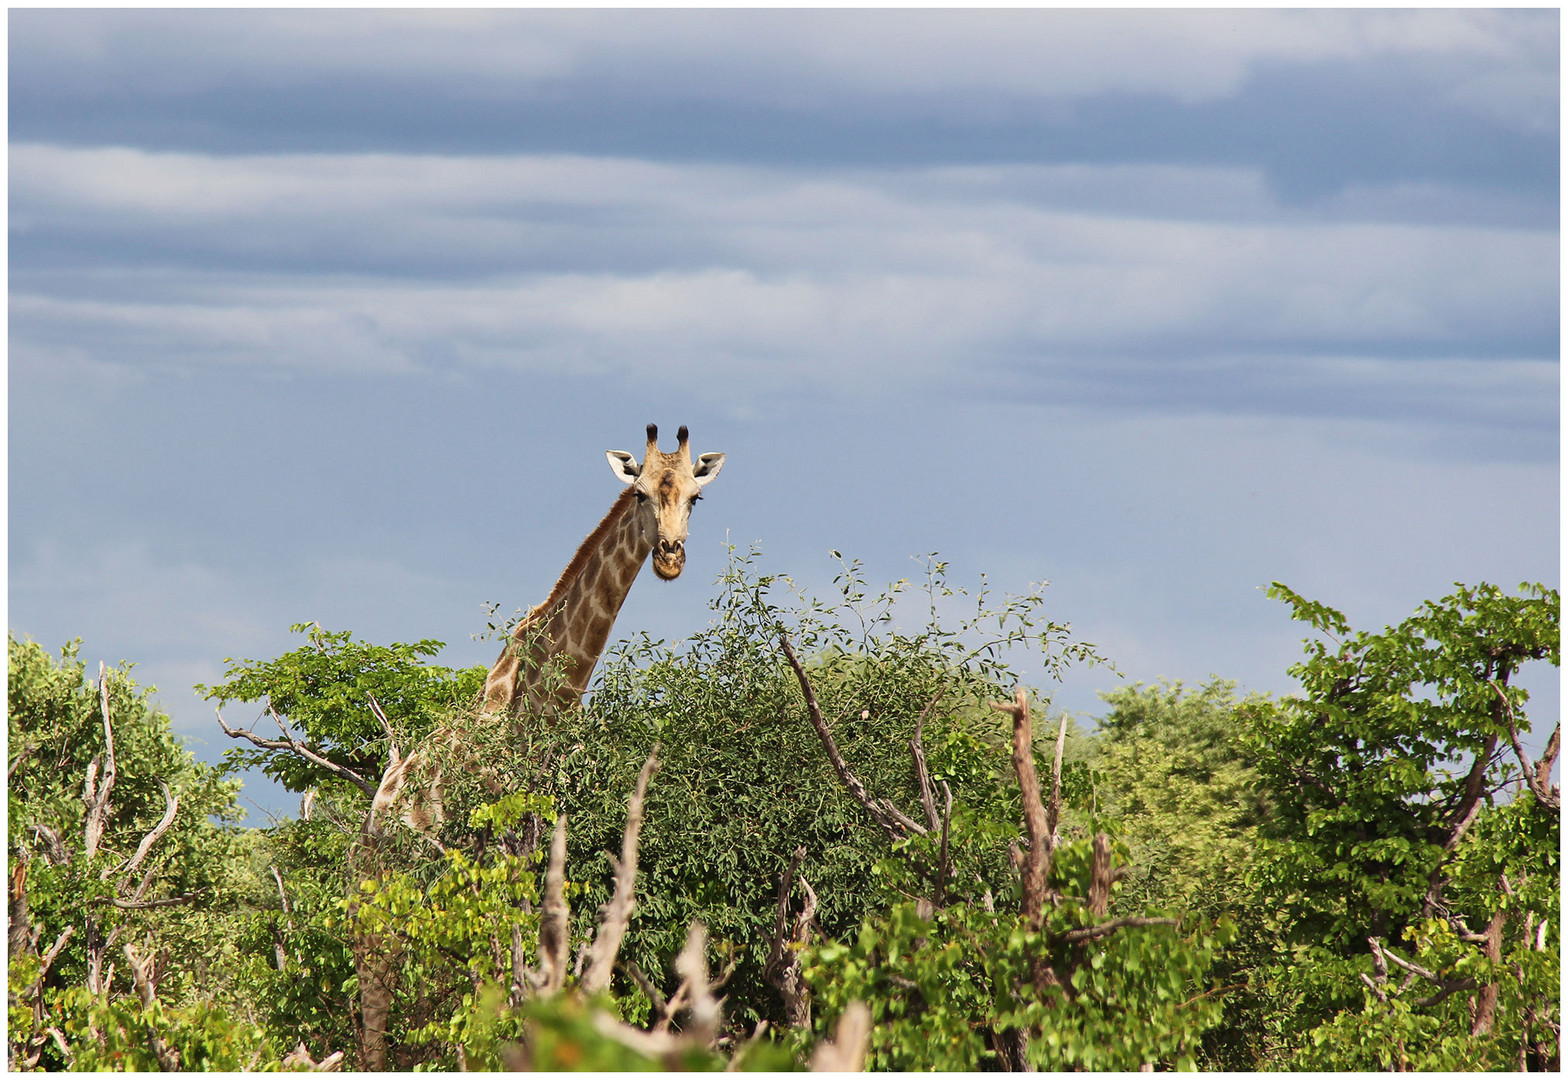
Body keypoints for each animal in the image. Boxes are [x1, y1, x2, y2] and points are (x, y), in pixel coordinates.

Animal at [355, 420, 721, 1059]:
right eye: (638, 495)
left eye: (696, 498)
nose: (670, 556)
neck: (541, 710)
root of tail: (380, 805)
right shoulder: (492, 859)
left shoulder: (539, 854)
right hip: (388, 896)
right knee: (379, 1004)